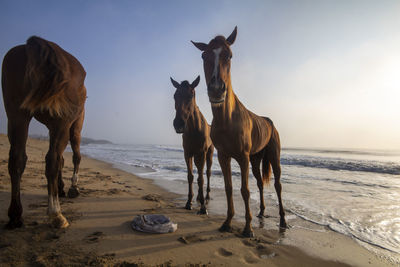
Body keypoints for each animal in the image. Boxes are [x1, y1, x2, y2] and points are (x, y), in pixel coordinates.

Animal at [1, 36, 86, 230]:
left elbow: (62, 160)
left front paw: (61, 188)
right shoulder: (74, 126)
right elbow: (73, 157)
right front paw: (72, 187)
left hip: (17, 115)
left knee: (17, 159)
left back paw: (15, 215)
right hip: (63, 124)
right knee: (52, 160)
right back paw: (56, 214)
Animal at [170, 76, 214, 216]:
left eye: (191, 95)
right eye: (175, 95)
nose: (179, 124)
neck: (195, 129)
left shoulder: (201, 153)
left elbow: (201, 179)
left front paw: (203, 208)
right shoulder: (188, 153)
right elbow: (190, 177)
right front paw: (188, 202)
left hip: (209, 154)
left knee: (207, 173)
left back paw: (206, 196)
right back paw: (199, 197)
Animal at [192, 26, 286, 237]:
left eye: (229, 55)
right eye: (203, 55)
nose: (216, 90)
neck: (228, 119)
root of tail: (270, 123)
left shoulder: (243, 157)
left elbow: (244, 190)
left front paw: (248, 228)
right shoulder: (223, 156)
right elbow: (229, 188)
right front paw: (227, 222)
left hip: (273, 155)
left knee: (277, 184)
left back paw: (283, 221)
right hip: (256, 159)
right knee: (260, 182)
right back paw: (261, 212)